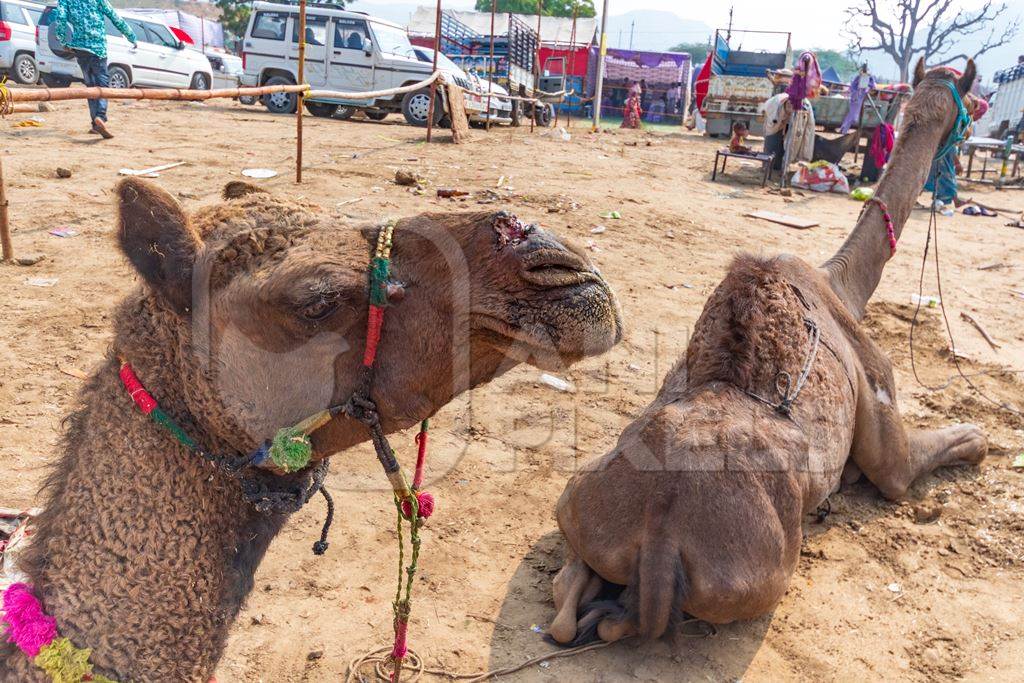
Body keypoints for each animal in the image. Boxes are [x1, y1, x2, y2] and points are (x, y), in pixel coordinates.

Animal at [548, 60, 987, 647]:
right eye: (971, 106)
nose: (967, 131)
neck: (843, 285)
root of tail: (661, 536)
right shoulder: (882, 406)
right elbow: (932, 456)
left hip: (577, 499)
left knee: (567, 607)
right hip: (765, 575)